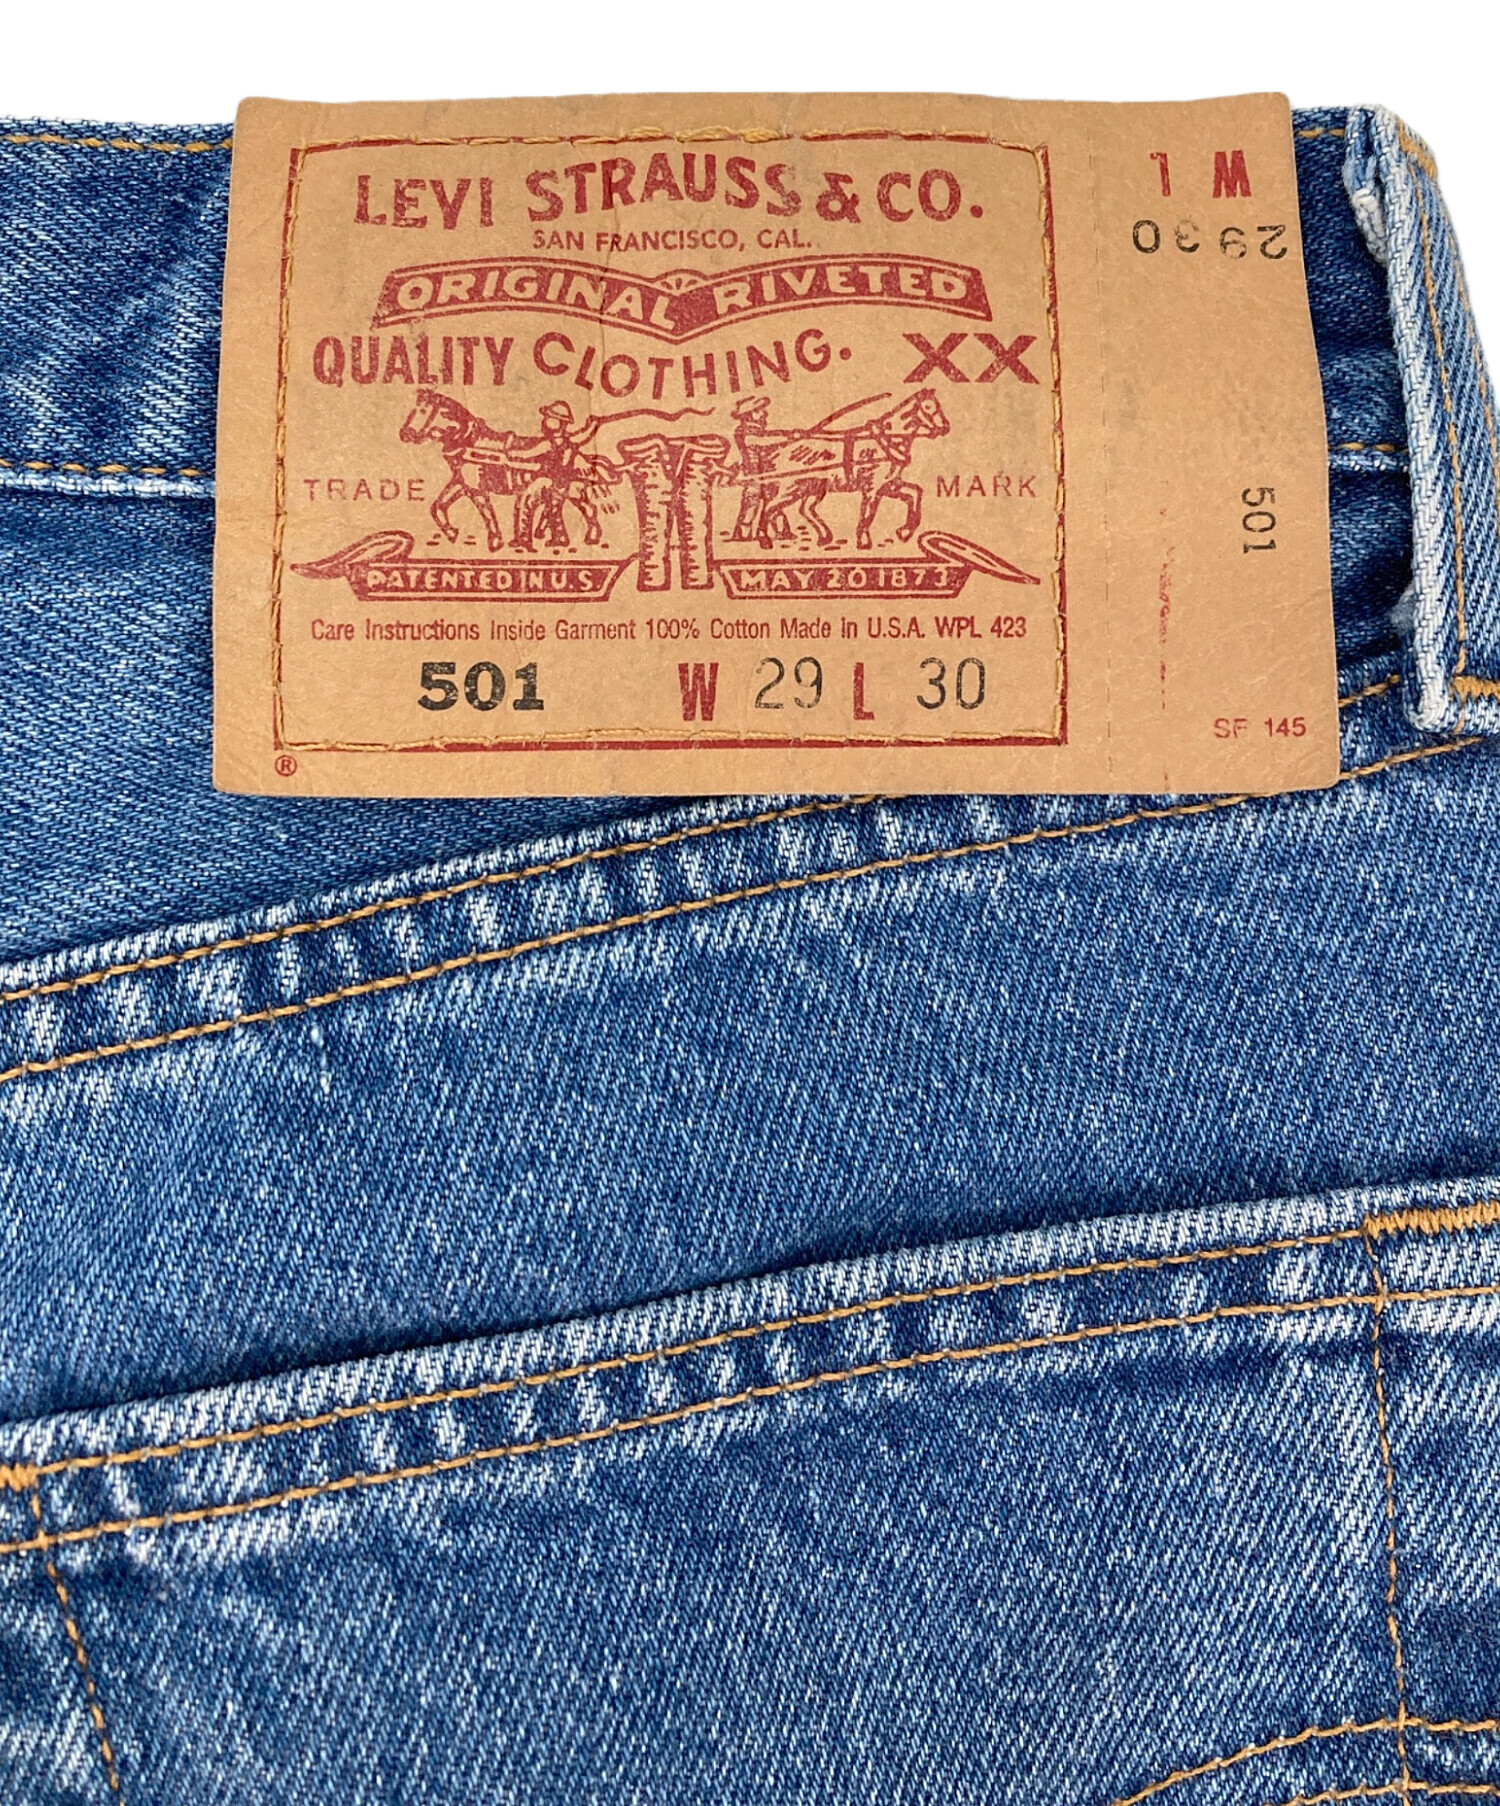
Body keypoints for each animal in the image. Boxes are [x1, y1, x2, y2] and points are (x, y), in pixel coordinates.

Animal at [737, 389, 950, 551]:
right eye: (928, 407)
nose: (946, 428)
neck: (884, 441)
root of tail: (775, 451)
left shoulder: (890, 485)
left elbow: (915, 494)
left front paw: (904, 532)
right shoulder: (872, 489)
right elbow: (868, 514)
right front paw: (864, 541)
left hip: (812, 488)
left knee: (804, 509)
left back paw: (824, 537)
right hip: (790, 489)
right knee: (769, 508)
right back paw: (764, 539)